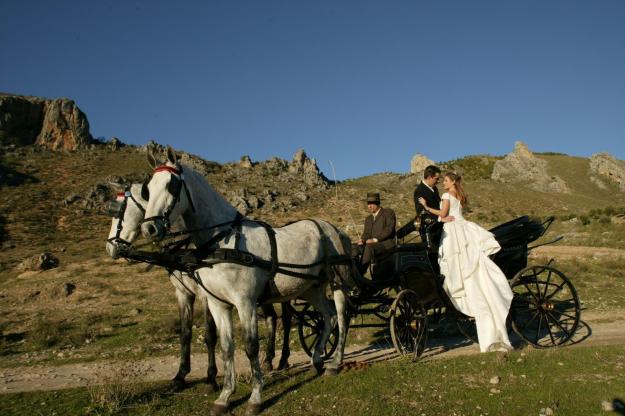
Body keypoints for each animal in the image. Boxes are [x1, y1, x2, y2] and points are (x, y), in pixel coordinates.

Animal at [104, 183, 292, 394]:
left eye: (121, 210)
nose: (110, 247)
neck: (187, 245)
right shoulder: (183, 293)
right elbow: (185, 333)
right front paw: (180, 376)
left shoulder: (205, 295)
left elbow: (210, 334)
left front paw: (211, 378)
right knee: (271, 317)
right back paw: (268, 359)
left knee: (287, 318)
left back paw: (283, 359)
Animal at [140, 147, 352, 416]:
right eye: (148, 188)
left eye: (172, 185)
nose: (149, 229)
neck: (223, 240)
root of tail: (333, 229)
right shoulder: (218, 304)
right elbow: (226, 347)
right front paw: (224, 397)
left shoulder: (245, 302)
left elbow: (251, 347)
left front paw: (255, 397)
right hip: (310, 289)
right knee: (328, 316)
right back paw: (317, 359)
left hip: (337, 282)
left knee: (342, 316)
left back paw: (335, 362)